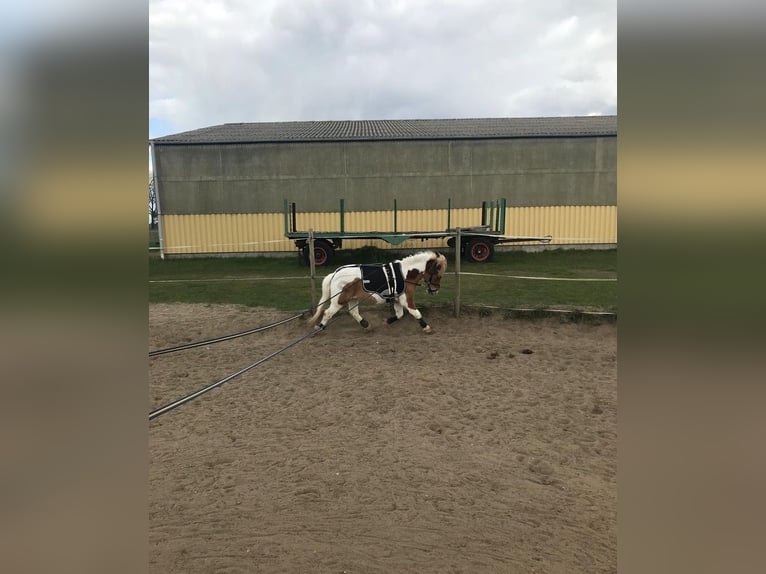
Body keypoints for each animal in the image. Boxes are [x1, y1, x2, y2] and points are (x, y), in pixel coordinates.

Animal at [308, 250, 448, 336]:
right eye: (438, 274)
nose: (434, 290)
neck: (404, 274)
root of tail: (335, 273)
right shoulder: (405, 299)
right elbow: (416, 312)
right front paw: (427, 328)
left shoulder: (397, 300)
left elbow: (400, 314)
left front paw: (387, 321)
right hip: (339, 300)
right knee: (327, 313)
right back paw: (319, 327)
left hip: (353, 299)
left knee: (353, 312)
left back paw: (366, 325)